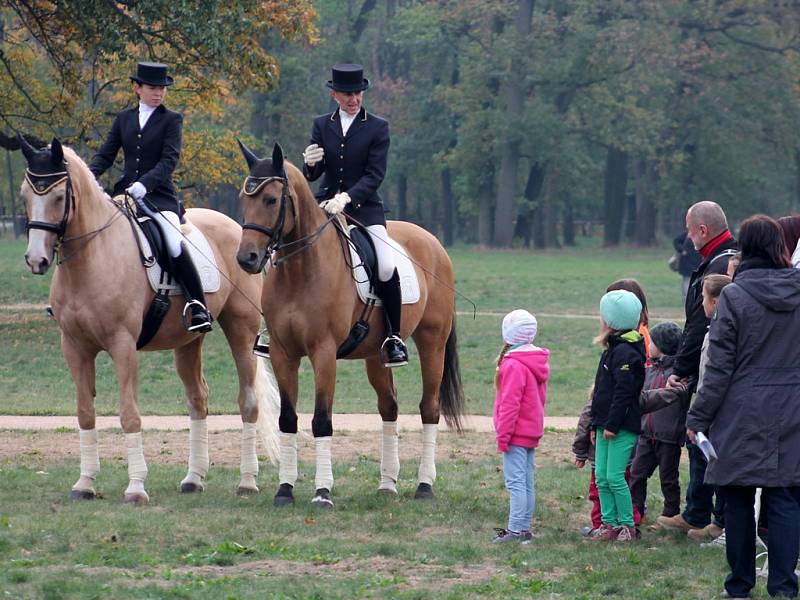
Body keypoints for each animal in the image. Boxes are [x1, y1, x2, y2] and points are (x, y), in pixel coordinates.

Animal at [19, 135, 282, 502]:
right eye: (25, 196)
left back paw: (247, 481)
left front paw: (135, 487)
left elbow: (129, 415)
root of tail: (234, 228)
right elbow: (85, 413)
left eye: (58, 197)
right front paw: (85, 483)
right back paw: (193, 478)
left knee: (249, 402)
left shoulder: (123, 345)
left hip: (241, 332)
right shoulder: (74, 347)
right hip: (188, 341)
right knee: (198, 399)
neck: (92, 255)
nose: (36, 259)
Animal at [234, 143, 466, 508]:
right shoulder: (284, 354)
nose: (247, 259)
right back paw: (387, 484)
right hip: (376, 355)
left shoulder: (324, 353)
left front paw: (322, 492)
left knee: (429, 409)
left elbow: (321, 420)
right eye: (244, 199)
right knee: (389, 407)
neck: (301, 270)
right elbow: (288, 418)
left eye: (271, 200)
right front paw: (285, 489)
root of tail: (432, 242)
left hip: (433, 343)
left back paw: (424, 486)